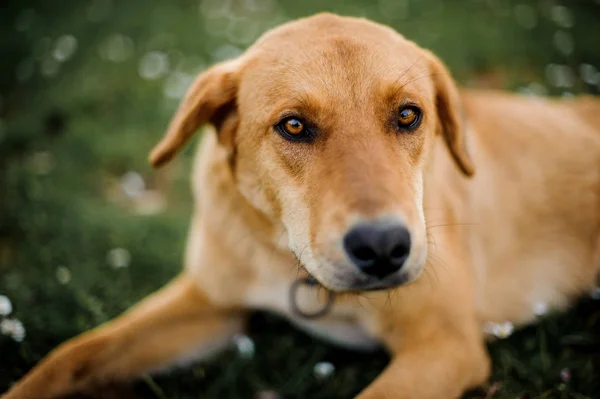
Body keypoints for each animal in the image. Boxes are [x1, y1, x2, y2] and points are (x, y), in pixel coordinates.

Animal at [3, 12, 600, 399]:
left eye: (409, 115)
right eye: (293, 125)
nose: (383, 248)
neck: (290, 263)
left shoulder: (444, 345)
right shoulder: (209, 300)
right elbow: (71, 357)